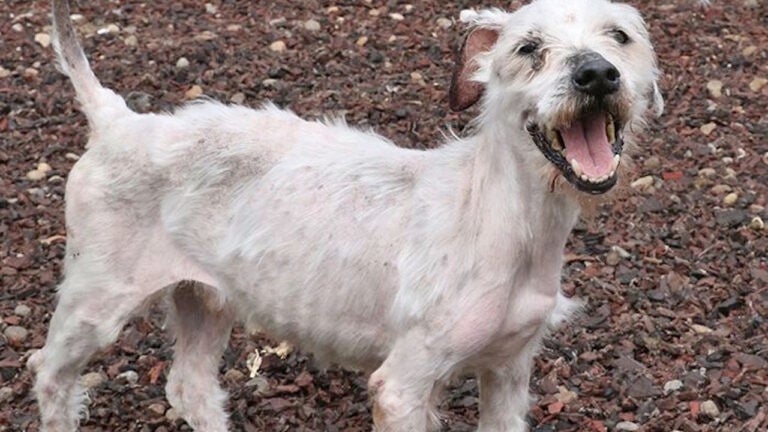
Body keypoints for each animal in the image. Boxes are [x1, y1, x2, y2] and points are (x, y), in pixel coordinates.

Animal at [31, 0, 660, 430]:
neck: (504, 216)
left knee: (189, 386)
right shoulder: (403, 383)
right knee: (50, 372)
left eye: (620, 36)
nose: (597, 74)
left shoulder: (509, 370)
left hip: (205, 299)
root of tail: (117, 120)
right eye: (528, 48)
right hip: (97, 298)